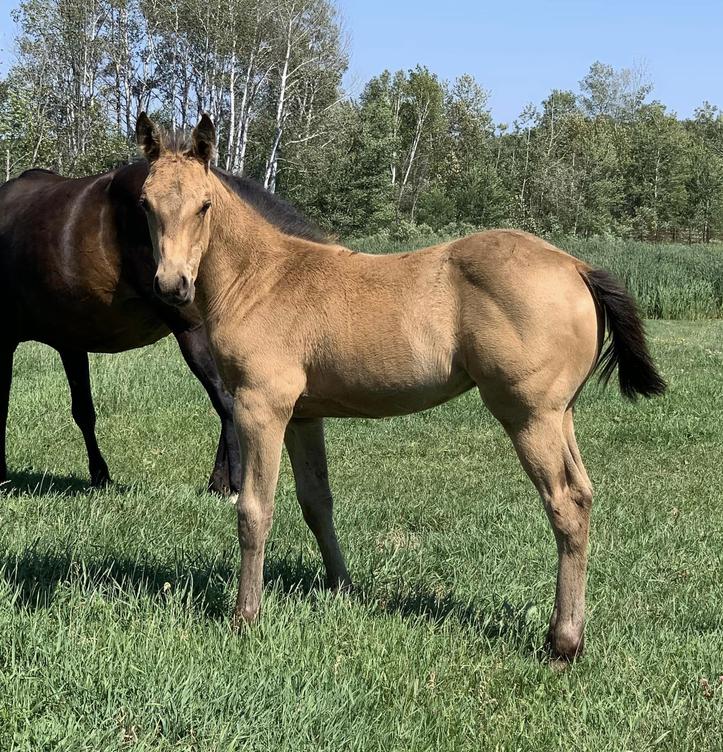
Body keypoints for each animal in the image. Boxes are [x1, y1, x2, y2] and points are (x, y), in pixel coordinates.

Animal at [0, 155, 327, 494]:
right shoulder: (71, 344)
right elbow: (83, 411)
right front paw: (100, 475)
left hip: (193, 335)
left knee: (226, 402)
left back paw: (232, 483)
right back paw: (219, 483)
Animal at [137, 113, 665, 661]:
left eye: (204, 205)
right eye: (145, 203)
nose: (172, 286)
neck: (261, 278)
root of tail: (577, 267)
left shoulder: (260, 408)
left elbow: (254, 511)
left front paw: (245, 616)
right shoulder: (303, 415)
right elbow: (317, 501)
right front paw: (343, 588)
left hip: (528, 416)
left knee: (565, 505)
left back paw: (563, 642)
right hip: (561, 415)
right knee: (583, 493)